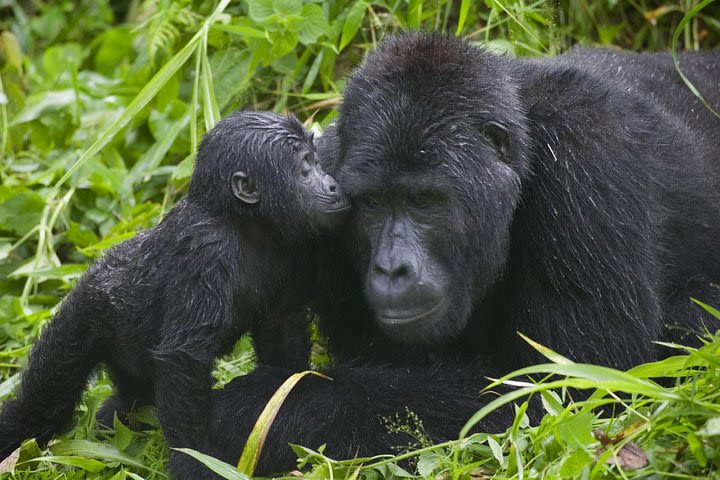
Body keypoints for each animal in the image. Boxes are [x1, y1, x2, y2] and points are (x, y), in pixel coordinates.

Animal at [0, 110, 348, 478]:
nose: (332, 184)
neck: (243, 221)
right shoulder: (206, 250)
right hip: (84, 313)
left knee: (130, 400)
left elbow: (281, 331)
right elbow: (184, 358)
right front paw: (193, 460)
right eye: (305, 169)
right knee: (43, 402)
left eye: (315, 161)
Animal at [205, 34, 716, 476]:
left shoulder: (588, 154)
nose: (391, 268)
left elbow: (577, 390)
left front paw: (264, 408)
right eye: (371, 204)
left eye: (423, 201)